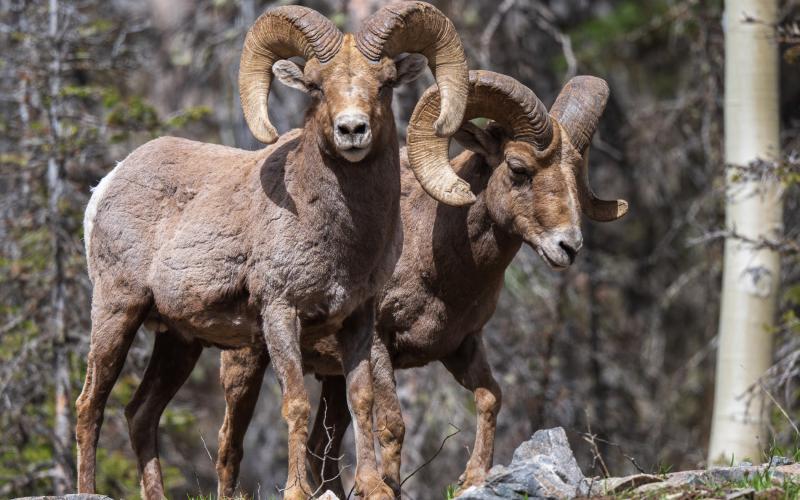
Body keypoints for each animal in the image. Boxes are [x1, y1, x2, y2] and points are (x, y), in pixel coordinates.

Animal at [75, 3, 469, 500]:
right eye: (317, 86)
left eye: (384, 83)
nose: (352, 130)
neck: (342, 237)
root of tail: (108, 183)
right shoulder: (280, 312)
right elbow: (296, 403)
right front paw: (297, 489)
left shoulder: (358, 318)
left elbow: (361, 399)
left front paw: (371, 486)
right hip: (117, 310)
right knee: (90, 404)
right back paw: (86, 487)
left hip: (179, 342)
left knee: (140, 413)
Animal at [209, 70, 629, 498]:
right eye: (518, 168)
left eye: (575, 174)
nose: (569, 246)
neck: (441, 263)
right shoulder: (380, 344)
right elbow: (393, 425)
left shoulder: (462, 346)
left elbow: (490, 397)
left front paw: (473, 477)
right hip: (247, 361)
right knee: (230, 446)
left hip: (333, 380)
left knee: (321, 449)